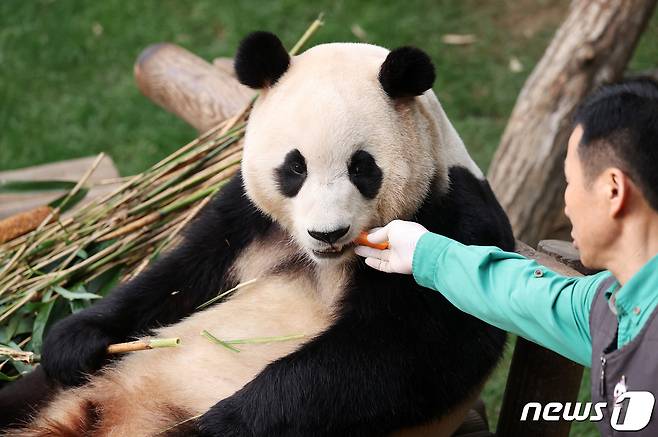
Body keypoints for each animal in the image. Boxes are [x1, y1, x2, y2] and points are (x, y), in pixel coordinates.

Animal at [0, 31, 512, 436]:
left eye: (362, 167)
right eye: (295, 167)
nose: (327, 233)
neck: (327, 261)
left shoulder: (454, 219)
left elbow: (406, 352)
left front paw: (226, 420)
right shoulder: (247, 219)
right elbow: (180, 275)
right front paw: (74, 338)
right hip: (82, 380)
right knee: (27, 392)